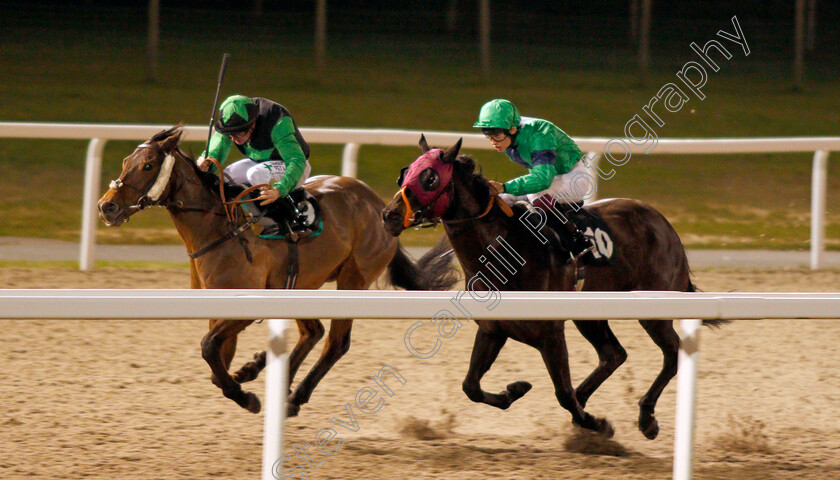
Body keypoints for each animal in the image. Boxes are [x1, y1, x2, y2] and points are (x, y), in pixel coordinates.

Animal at [98, 126, 460, 416]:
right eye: (125, 161)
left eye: (147, 165)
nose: (106, 207)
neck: (219, 226)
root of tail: (380, 204)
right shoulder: (218, 303)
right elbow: (215, 362)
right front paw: (249, 371)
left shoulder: (246, 302)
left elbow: (209, 348)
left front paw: (247, 397)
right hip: (301, 282)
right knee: (313, 331)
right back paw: (268, 372)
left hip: (353, 277)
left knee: (336, 342)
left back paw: (294, 397)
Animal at [384, 137, 724, 440]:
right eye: (404, 173)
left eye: (430, 178)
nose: (389, 215)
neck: (505, 251)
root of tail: (664, 224)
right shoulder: (493, 330)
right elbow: (471, 386)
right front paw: (515, 389)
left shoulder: (550, 333)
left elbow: (561, 393)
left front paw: (598, 424)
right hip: (591, 315)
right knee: (614, 354)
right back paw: (587, 399)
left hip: (654, 309)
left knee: (672, 353)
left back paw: (646, 417)